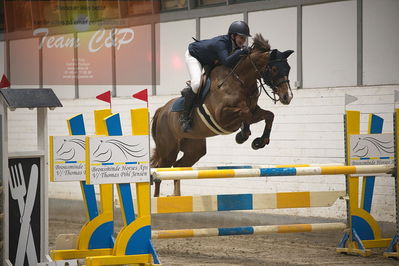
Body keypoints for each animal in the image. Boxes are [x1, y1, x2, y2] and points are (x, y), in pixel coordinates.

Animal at [150, 33, 294, 196]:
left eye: (288, 68)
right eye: (274, 69)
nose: (287, 97)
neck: (241, 80)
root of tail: (161, 110)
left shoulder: (254, 111)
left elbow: (269, 115)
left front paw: (259, 141)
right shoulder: (222, 116)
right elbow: (245, 112)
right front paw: (243, 135)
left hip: (194, 148)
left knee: (178, 166)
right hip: (168, 150)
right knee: (158, 170)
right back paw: (156, 198)